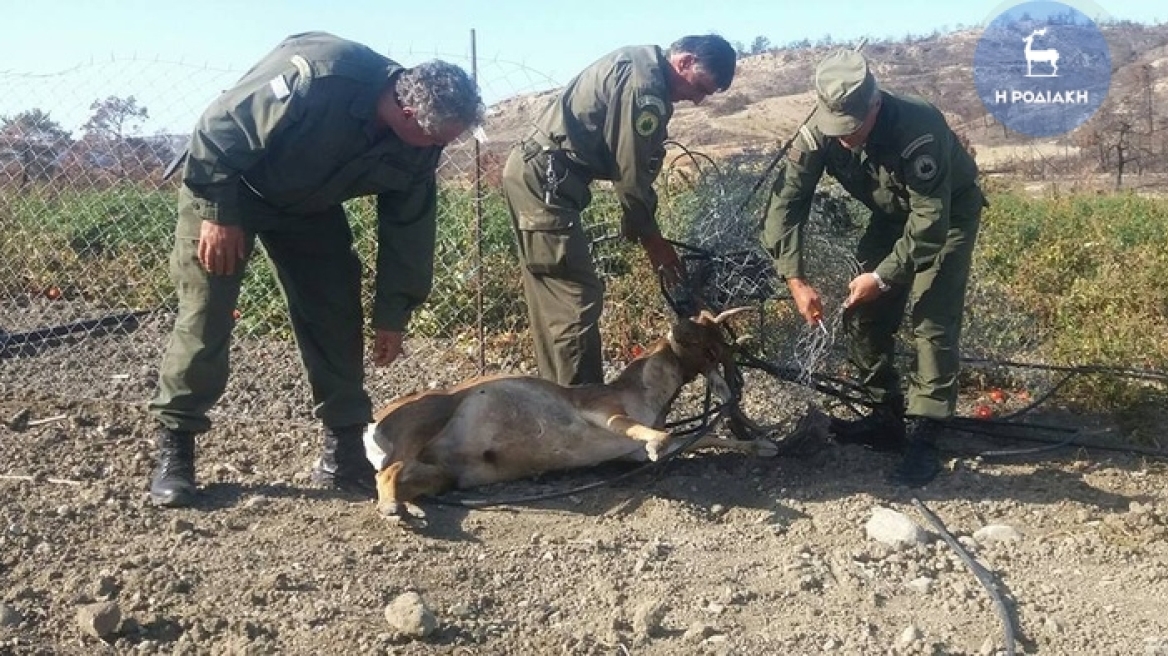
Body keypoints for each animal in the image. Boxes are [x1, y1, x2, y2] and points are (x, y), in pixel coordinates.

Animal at [359, 305, 770, 515]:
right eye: (703, 334)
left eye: (712, 343)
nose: (676, 322)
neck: (644, 391)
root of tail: (373, 428)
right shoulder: (601, 412)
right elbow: (652, 432)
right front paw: (658, 442)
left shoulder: (631, 454)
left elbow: (704, 438)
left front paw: (762, 445)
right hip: (431, 419)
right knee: (386, 472)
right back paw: (391, 507)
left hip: (441, 475)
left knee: (400, 477)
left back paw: (409, 507)